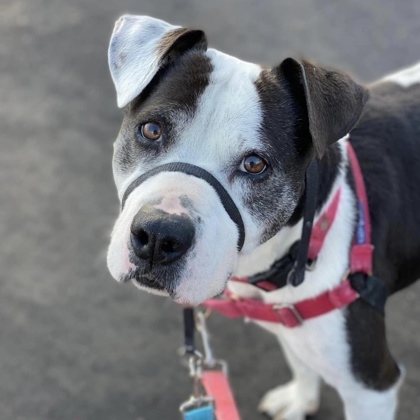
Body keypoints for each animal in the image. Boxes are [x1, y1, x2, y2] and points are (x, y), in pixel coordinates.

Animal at [106, 14, 420, 420]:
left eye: (255, 164)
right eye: (151, 130)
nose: (160, 235)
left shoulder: (371, 387)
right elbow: (300, 362)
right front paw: (300, 401)